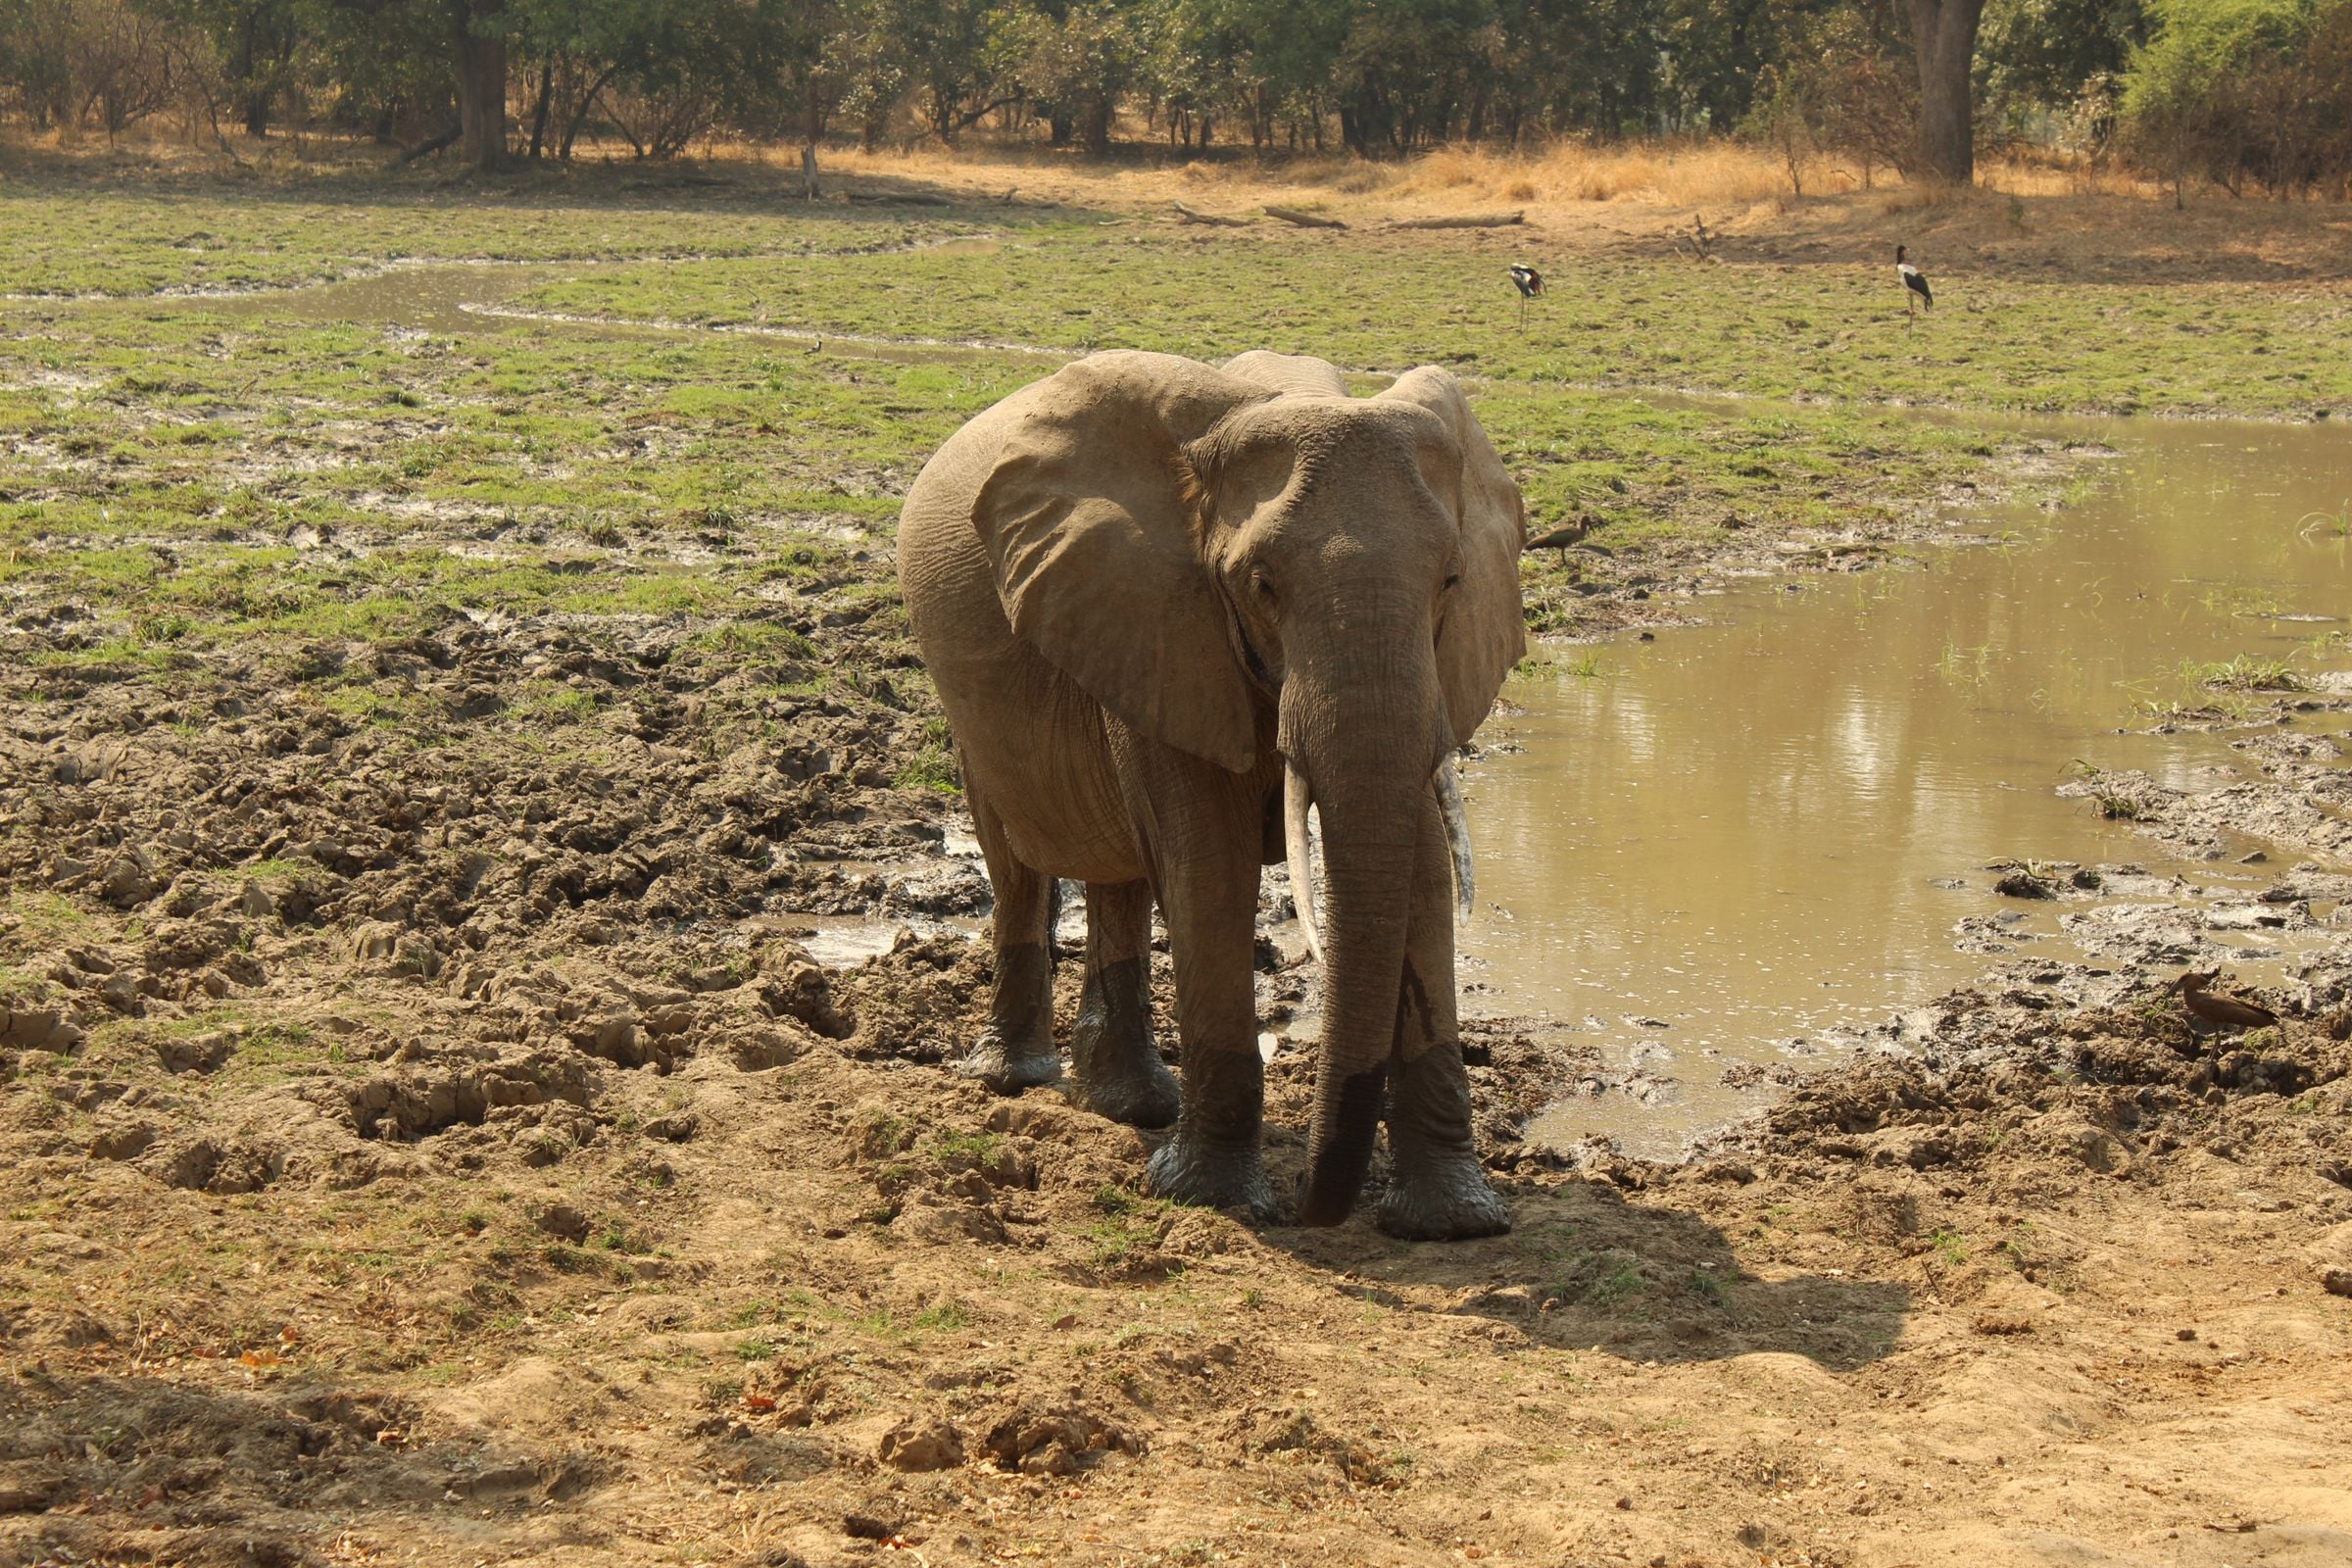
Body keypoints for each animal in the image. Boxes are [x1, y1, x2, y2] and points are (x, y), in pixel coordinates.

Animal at [895, 348, 1526, 1238]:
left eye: (1452, 579)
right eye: (1261, 585)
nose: (1311, 1207)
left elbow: (1427, 873)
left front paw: (1453, 1223)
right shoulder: (1159, 619)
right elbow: (1208, 871)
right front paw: (1214, 1199)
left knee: (1119, 870)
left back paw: (1133, 1106)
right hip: (960, 684)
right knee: (1015, 854)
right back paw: (1014, 1081)